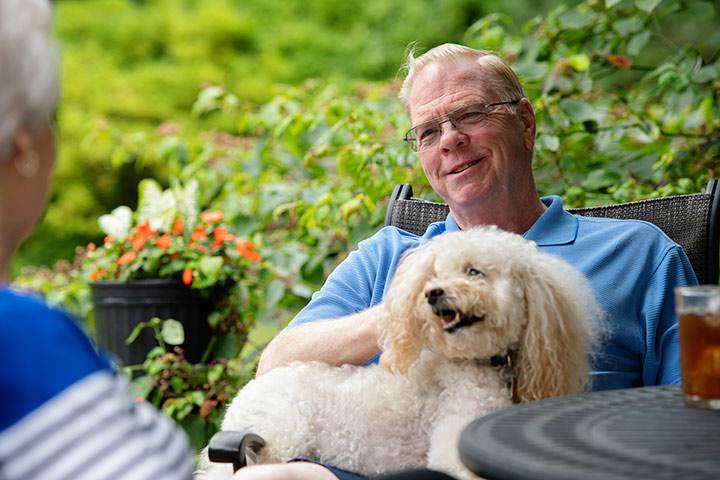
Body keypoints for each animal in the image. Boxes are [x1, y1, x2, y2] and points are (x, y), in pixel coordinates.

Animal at [194, 228, 600, 480]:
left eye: (474, 272)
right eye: (434, 274)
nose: (433, 293)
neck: (479, 362)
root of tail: (239, 402)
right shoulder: (452, 450)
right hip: (278, 437)